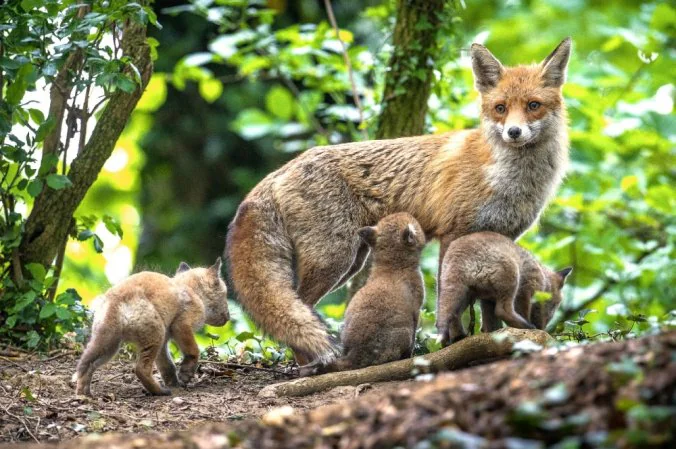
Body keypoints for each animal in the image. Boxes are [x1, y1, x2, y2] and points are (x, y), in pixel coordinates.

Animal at [226, 38, 572, 366]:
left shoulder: (501, 239)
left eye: (533, 105)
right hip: (334, 260)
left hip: (353, 260)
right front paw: (455, 342)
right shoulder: (453, 235)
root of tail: (280, 170)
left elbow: (488, 306)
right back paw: (312, 364)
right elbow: (452, 301)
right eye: (501, 108)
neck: (508, 178)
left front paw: (491, 339)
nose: (513, 132)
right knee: (300, 309)